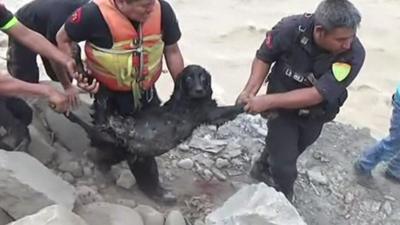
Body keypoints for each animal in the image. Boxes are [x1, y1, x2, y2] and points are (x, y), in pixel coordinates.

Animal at [67, 65, 242, 156]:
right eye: (189, 78)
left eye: (203, 77)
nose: (199, 90)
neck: (188, 100)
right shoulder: (209, 113)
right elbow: (231, 109)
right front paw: (244, 104)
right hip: (109, 135)